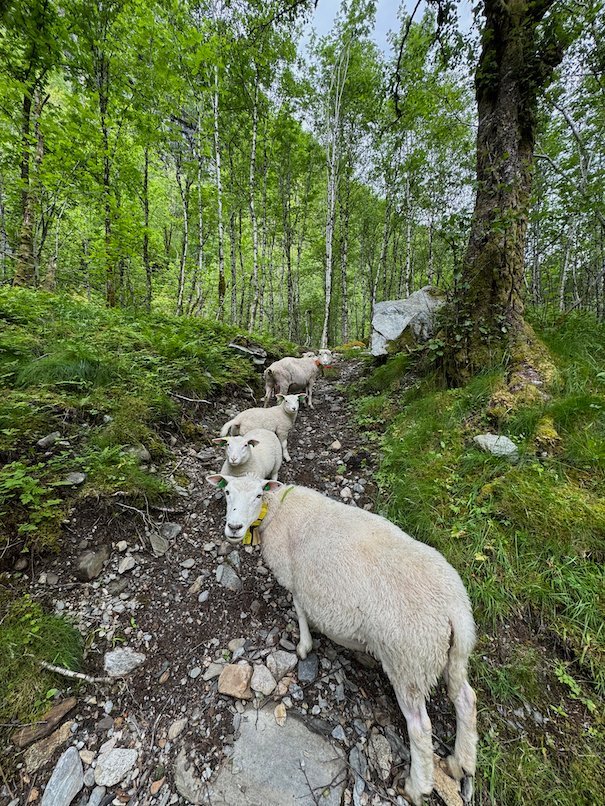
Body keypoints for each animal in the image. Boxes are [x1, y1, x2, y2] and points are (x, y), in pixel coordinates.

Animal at [206, 474, 478, 806]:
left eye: (258, 495)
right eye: (227, 493)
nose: (233, 527)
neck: (277, 509)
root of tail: (453, 608)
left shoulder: (295, 577)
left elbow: (299, 608)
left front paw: (304, 645)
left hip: (408, 660)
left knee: (420, 727)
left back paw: (416, 786)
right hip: (454, 652)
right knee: (465, 698)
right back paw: (460, 762)